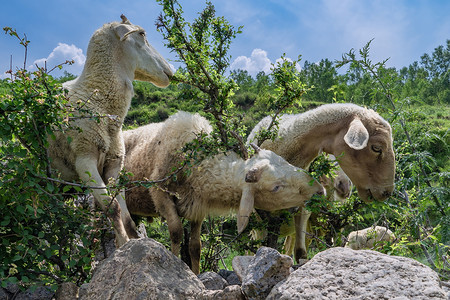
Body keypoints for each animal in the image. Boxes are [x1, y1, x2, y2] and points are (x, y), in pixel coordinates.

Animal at [47, 15, 173, 247]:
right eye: (142, 34)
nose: (170, 71)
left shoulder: (115, 163)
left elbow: (126, 214)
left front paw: (134, 241)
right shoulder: (85, 161)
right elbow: (112, 208)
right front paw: (122, 244)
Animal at [123, 110, 326, 274]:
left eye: (285, 161)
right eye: (276, 187)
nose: (319, 189)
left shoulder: (197, 205)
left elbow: (195, 246)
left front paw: (196, 274)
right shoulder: (160, 194)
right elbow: (176, 232)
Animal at [248, 102, 396, 260]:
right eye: (376, 148)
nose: (387, 192)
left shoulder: (305, 208)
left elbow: (300, 252)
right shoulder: (258, 218)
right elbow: (261, 248)